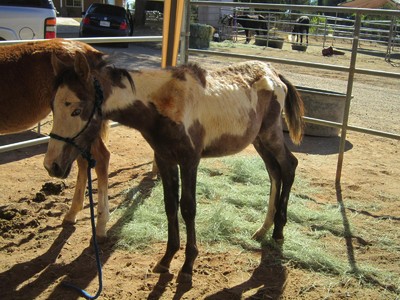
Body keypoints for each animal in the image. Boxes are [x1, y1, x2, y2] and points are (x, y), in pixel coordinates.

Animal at [0, 38, 111, 238]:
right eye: (52, 107)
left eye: (77, 111)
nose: (50, 166)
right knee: (84, 162)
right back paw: (73, 213)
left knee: (101, 159)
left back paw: (100, 224)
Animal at [43, 54, 304, 284]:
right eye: (53, 108)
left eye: (76, 110)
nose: (51, 165)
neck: (164, 103)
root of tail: (273, 73)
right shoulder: (165, 159)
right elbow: (170, 206)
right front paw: (167, 259)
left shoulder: (189, 161)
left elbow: (188, 208)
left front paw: (188, 266)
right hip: (259, 139)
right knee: (274, 172)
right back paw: (263, 229)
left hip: (270, 135)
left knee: (289, 167)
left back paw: (278, 232)